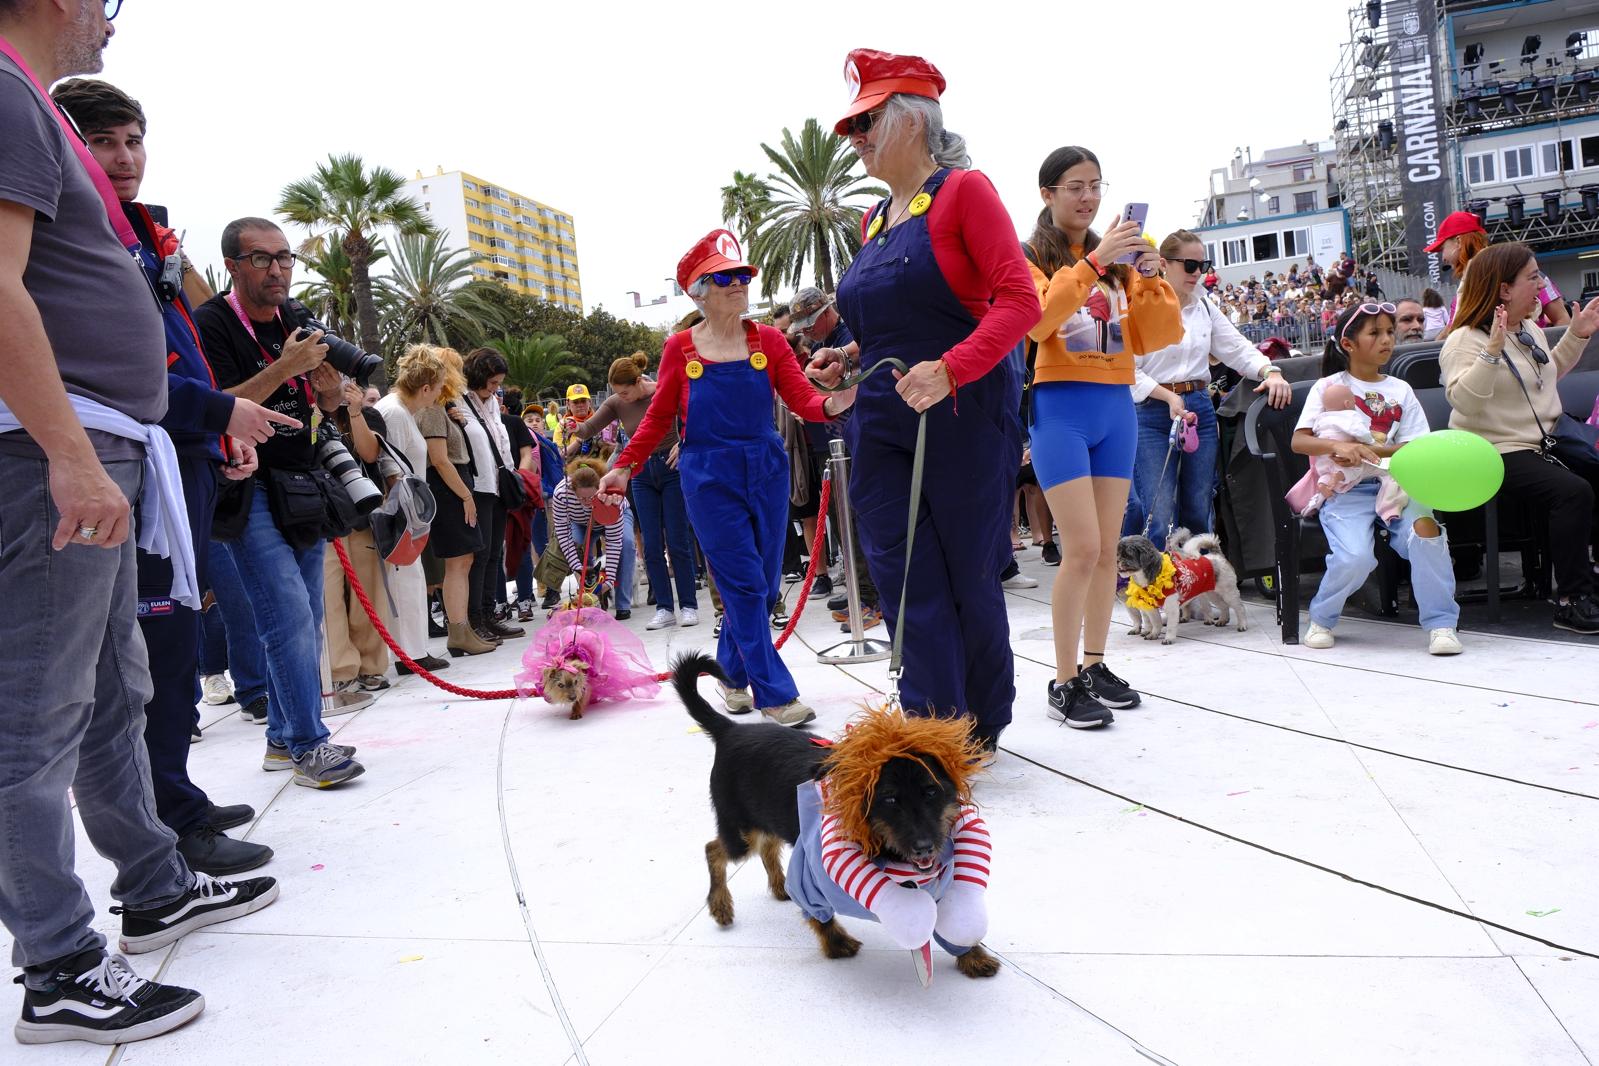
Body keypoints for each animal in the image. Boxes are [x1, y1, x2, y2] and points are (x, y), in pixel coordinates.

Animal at [514, 604, 658, 722]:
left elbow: (581, 698)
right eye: (560, 685)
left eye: (576, 682)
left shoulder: (584, 686)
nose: (572, 697)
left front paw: (576, 711)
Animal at [671, 652, 997, 978]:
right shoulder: (812, 876)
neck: (885, 850)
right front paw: (836, 944)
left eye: (931, 792)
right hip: (740, 830)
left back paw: (779, 887)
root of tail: (730, 730)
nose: (924, 847)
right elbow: (818, 913)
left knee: (767, 846)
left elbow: (956, 923)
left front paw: (972, 956)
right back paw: (721, 906)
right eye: (889, 799)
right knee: (714, 849)